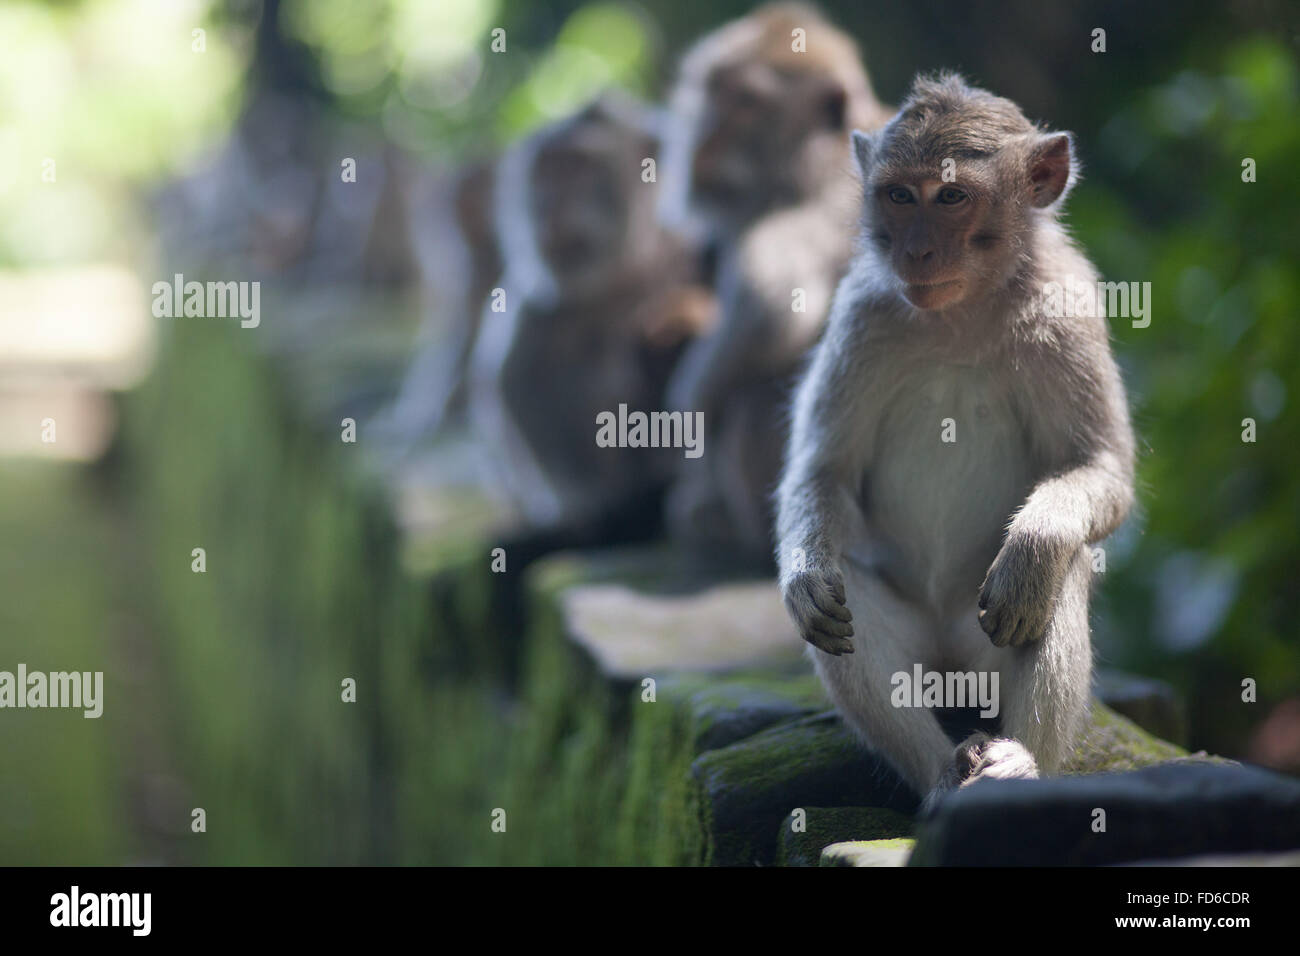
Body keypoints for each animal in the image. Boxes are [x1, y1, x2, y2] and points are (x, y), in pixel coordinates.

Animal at [469, 93, 716, 532]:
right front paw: (576, 496)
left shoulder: (692, 249)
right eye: (545, 172)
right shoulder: (536, 301)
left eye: (578, 166)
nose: (549, 203)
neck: (624, 274)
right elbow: (512, 383)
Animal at [657, 2, 893, 569]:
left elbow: (771, 314)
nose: (703, 143)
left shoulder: (803, 206)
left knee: (750, 399)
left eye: (745, 103)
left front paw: (688, 413)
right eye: (712, 98)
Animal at [775, 74, 1136, 812]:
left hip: (982, 635)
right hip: (924, 641)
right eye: (898, 196)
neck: (962, 312)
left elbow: (1101, 467)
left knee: (1061, 572)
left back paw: (1017, 763)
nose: (914, 251)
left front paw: (1035, 546)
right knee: (845, 599)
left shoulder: (1067, 312)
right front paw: (804, 575)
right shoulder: (863, 315)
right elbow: (824, 470)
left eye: (951, 197)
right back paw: (942, 774)